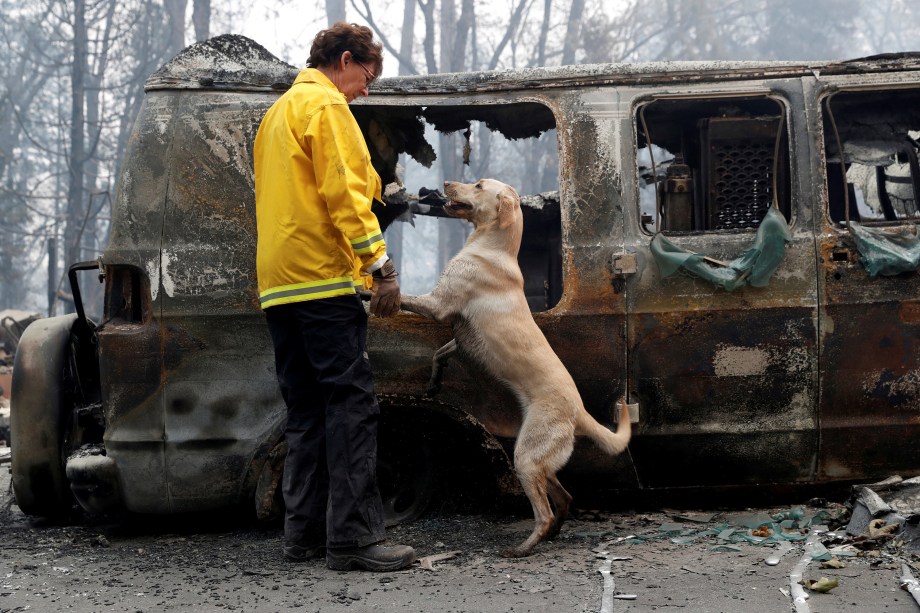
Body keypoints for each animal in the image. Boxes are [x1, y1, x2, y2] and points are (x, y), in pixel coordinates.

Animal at [402, 179, 632, 556]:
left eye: (478, 185)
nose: (444, 184)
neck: (493, 248)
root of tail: (579, 412)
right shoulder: (462, 339)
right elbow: (439, 354)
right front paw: (434, 384)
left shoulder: (437, 305)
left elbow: (397, 297)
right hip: (539, 462)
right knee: (564, 499)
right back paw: (552, 534)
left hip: (525, 458)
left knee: (545, 513)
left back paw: (524, 547)